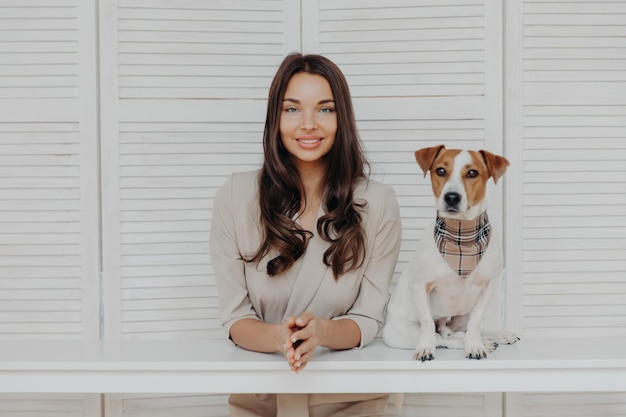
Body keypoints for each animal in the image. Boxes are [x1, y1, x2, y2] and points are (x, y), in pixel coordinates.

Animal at [380, 145, 516, 360]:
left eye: (472, 173)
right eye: (441, 171)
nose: (452, 197)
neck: (462, 237)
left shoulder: (488, 287)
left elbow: (475, 323)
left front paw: (474, 345)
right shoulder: (421, 287)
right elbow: (428, 324)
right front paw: (426, 348)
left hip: (463, 315)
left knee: (463, 330)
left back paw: (494, 336)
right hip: (404, 334)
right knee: (444, 338)